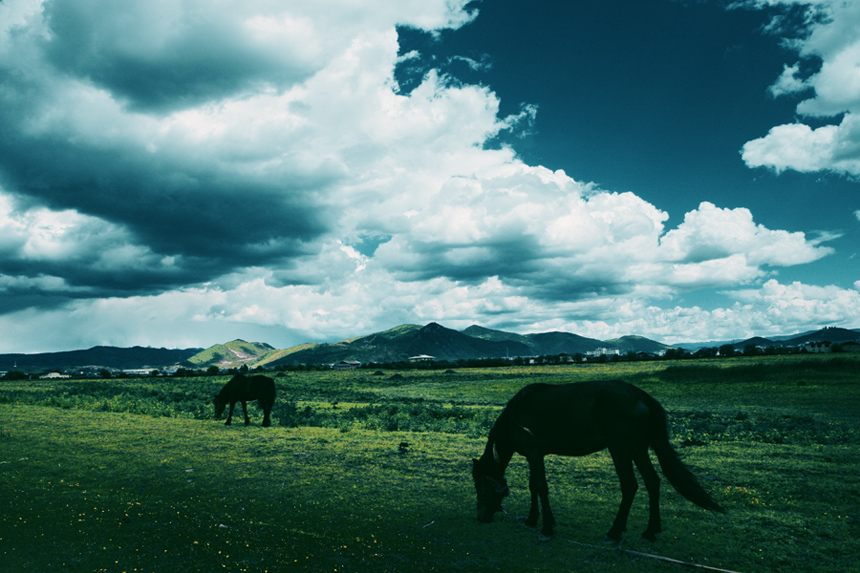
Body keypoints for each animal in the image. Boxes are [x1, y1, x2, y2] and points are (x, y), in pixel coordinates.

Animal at [474, 380, 724, 540]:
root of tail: (640, 395)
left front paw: (546, 527)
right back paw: (650, 530)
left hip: (620, 450)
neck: (515, 417)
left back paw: (615, 531)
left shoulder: (535, 455)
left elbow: (541, 487)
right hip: (638, 450)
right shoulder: (532, 457)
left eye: (481, 488)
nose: (481, 517)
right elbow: (533, 486)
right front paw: (532, 519)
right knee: (652, 482)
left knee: (630, 486)